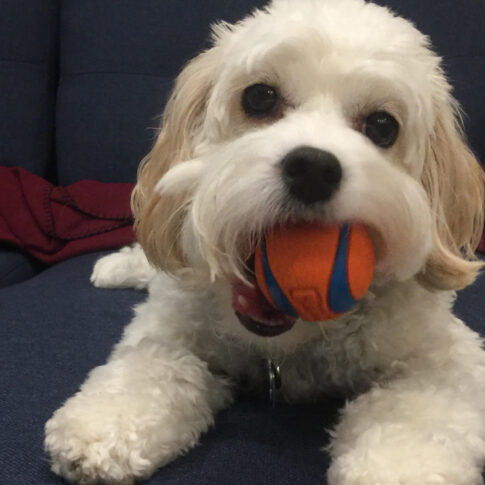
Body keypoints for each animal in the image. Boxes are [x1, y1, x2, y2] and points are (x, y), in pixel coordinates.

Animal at [45, 0, 485, 483]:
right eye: (259, 98)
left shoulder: (445, 358)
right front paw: (106, 423)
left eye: (383, 126)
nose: (313, 169)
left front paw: (399, 467)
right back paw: (115, 267)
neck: (287, 348)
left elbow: (417, 411)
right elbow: (152, 367)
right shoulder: (170, 329)